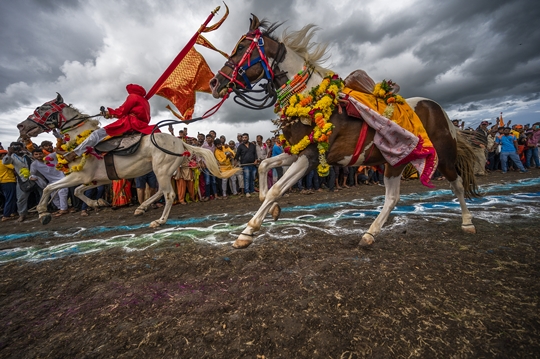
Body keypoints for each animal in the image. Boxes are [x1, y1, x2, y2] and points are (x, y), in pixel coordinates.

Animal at [18, 95, 236, 228]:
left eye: (43, 108)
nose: (21, 126)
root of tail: (180, 142)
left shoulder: (79, 175)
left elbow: (49, 188)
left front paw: (42, 213)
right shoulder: (95, 179)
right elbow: (78, 191)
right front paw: (97, 202)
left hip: (162, 170)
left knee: (169, 194)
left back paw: (159, 220)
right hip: (161, 172)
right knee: (160, 191)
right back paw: (141, 207)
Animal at [209, 15, 478, 249]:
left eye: (242, 47)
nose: (214, 83)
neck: (308, 97)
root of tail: (436, 108)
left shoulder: (309, 157)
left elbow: (276, 188)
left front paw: (247, 231)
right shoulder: (296, 152)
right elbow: (264, 166)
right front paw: (273, 208)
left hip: (443, 157)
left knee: (457, 184)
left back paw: (467, 223)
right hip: (396, 161)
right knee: (393, 198)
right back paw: (369, 234)